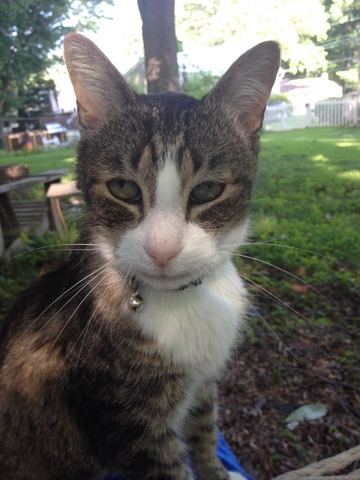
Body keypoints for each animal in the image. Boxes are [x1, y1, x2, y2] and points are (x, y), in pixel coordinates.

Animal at [0, 33, 280, 480]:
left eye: (207, 191)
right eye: (123, 188)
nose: (162, 249)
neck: (183, 302)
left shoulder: (203, 383)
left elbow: (204, 429)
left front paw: (216, 470)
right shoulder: (128, 426)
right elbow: (169, 468)